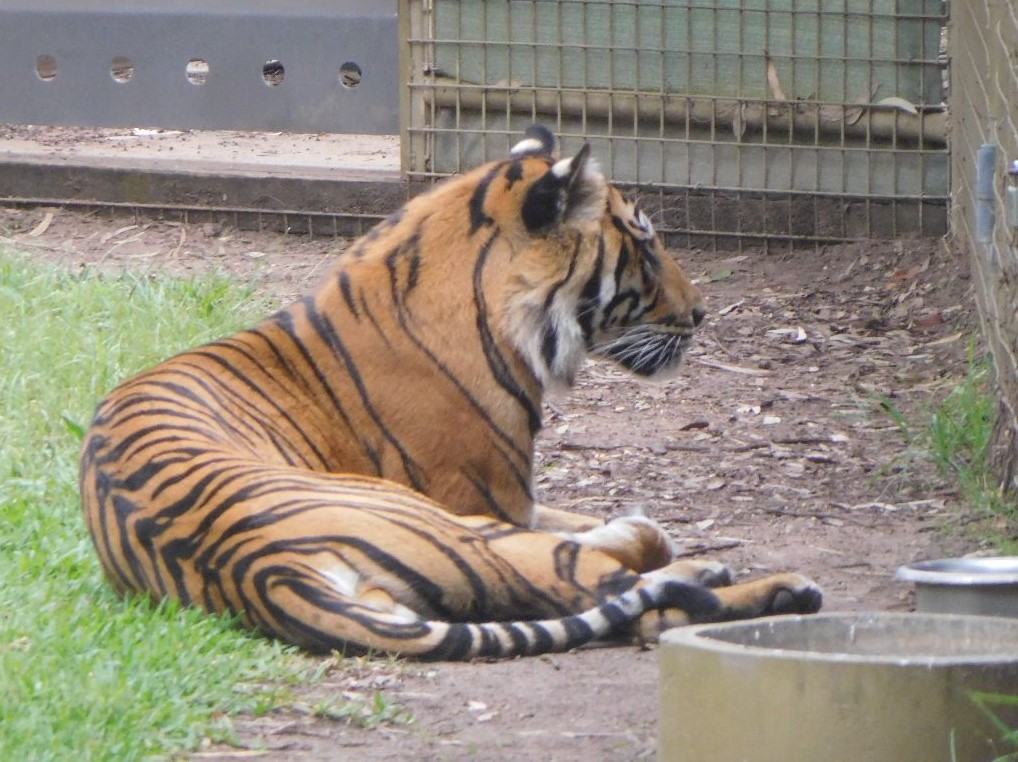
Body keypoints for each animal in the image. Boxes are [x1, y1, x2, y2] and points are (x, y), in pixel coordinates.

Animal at [79, 125, 821, 660]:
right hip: (456, 529)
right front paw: (651, 535)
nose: (701, 314)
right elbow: (630, 546)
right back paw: (774, 589)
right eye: (643, 244)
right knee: (636, 603)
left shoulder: (516, 501)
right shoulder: (489, 498)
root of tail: (259, 569)